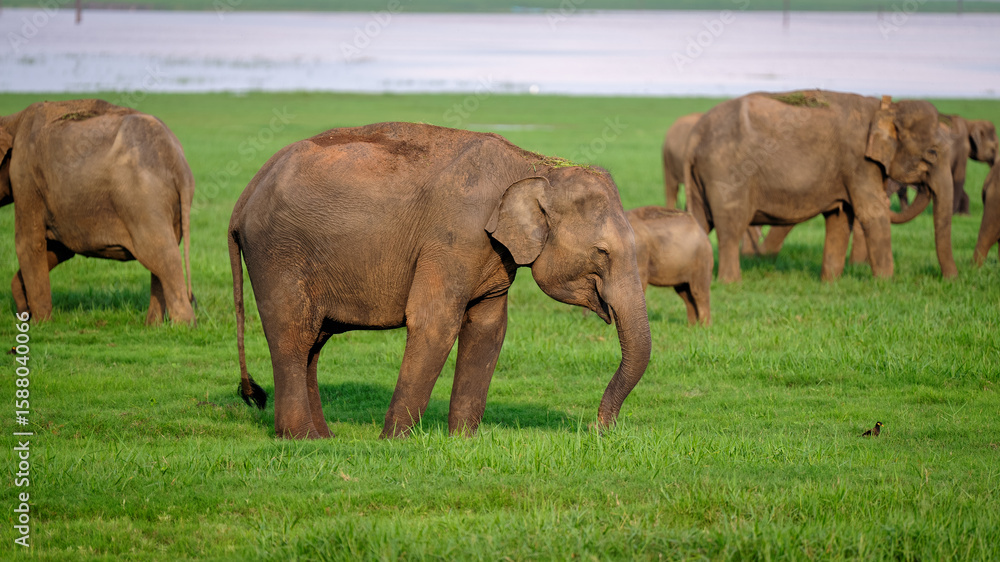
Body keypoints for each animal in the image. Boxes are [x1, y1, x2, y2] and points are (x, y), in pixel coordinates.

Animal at [0, 99, 195, 325]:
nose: (25, 313)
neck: (14, 120)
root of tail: (179, 164)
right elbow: (59, 248)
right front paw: (24, 311)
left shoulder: (25, 178)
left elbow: (29, 243)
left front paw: (40, 324)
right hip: (170, 205)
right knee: (163, 258)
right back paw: (152, 326)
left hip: (143, 201)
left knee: (162, 254)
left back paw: (184, 326)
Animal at [229, 122, 652, 440]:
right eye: (603, 252)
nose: (598, 429)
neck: (536, 166)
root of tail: (244, 197)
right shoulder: (454, 236)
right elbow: (435, 321)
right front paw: (395, 442)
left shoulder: (492, 253)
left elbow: (489, 327)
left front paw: (464, 440)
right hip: (279, 254)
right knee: (293, 333)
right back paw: (300, 438)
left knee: (314, 342)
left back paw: (324, 438)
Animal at [685, 90, 956, 283]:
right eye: (932, 153)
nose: (951, 281)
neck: (884, 107)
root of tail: (695, 136)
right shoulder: (858, 162)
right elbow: (872, 212)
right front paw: (886, 283)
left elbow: (839, 218)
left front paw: (830, 282)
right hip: (727, 174)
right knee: (731, 226)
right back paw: (731, 283)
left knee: (701, 224)